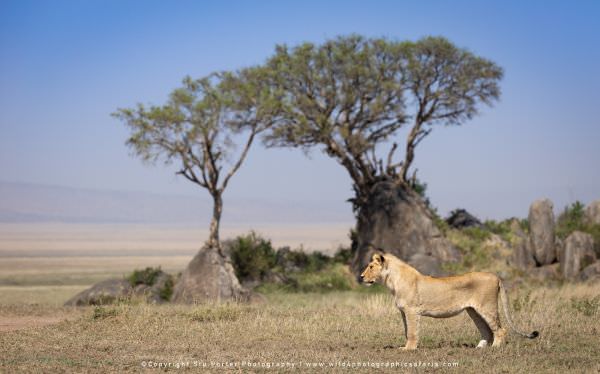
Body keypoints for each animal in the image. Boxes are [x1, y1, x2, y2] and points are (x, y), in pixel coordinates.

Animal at [360, 250, 540, 350]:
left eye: (370, 267)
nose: (361, 277)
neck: (392, 281)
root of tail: (496, 276)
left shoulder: (411, 310)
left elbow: (411, 331)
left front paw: (408, 349)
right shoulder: (404, 312)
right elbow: (407, 331)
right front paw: (406, 346)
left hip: (487, 307)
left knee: (500, 330)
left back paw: (495, 348)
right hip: (473, 311)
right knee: (487, 330)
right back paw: (479, 348)